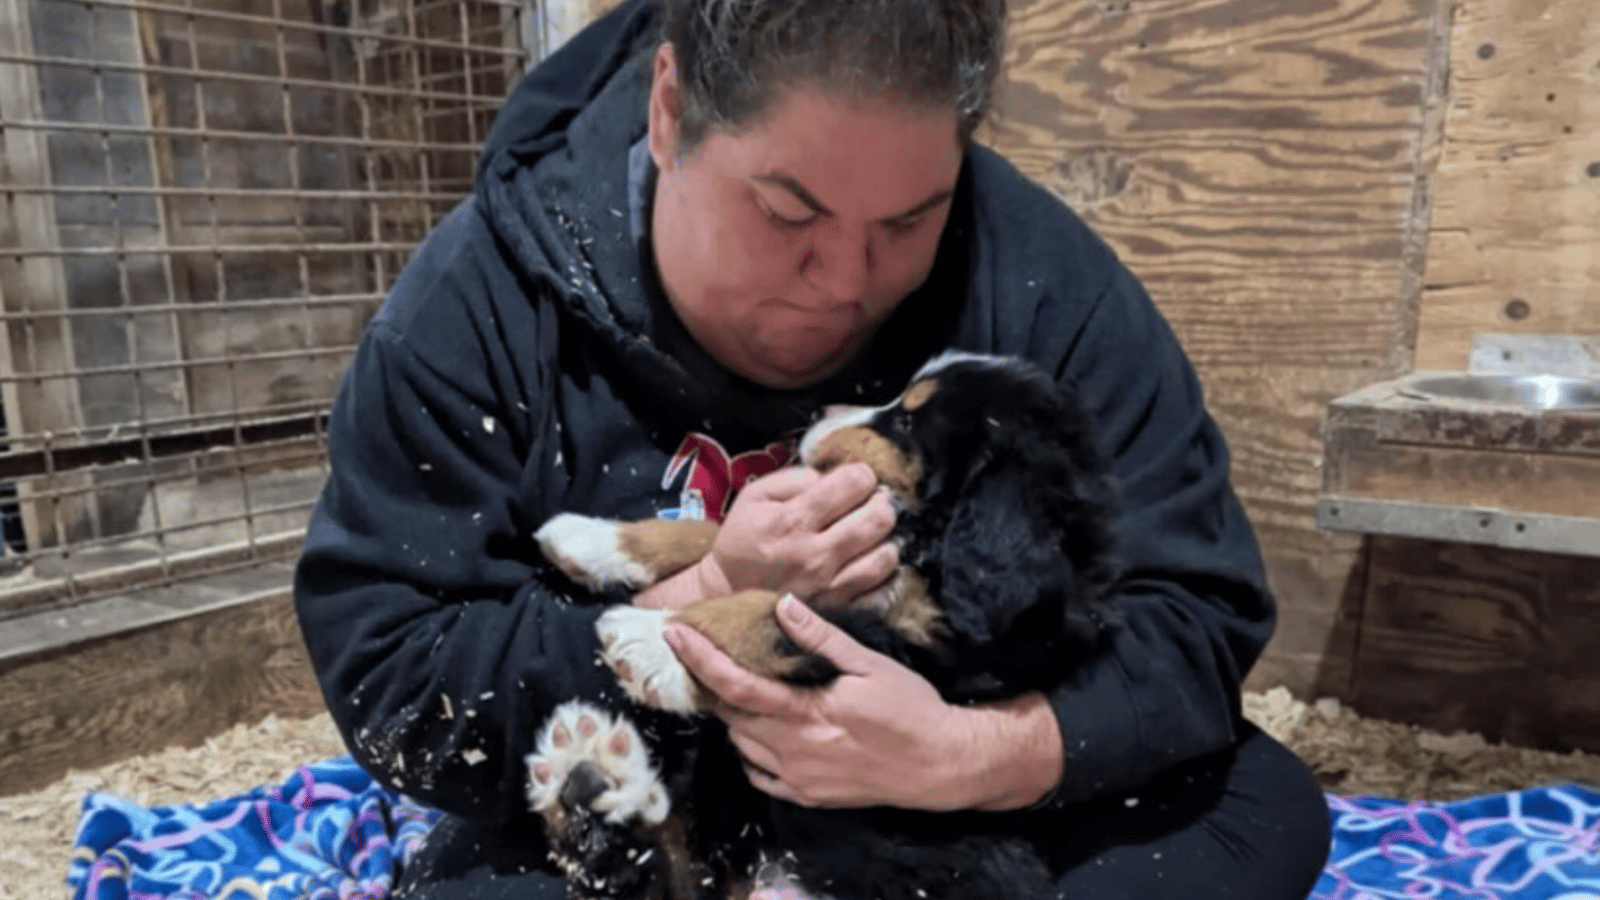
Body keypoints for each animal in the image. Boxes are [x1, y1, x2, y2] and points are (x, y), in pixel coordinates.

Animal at [521, 349, 1113, 896]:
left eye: (905, 423)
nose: (820, 408)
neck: (929, 545)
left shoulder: (936, 655)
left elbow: (779, 613)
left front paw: (651, 642)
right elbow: (719, 538)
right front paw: (594, 540)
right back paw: (588, 776)